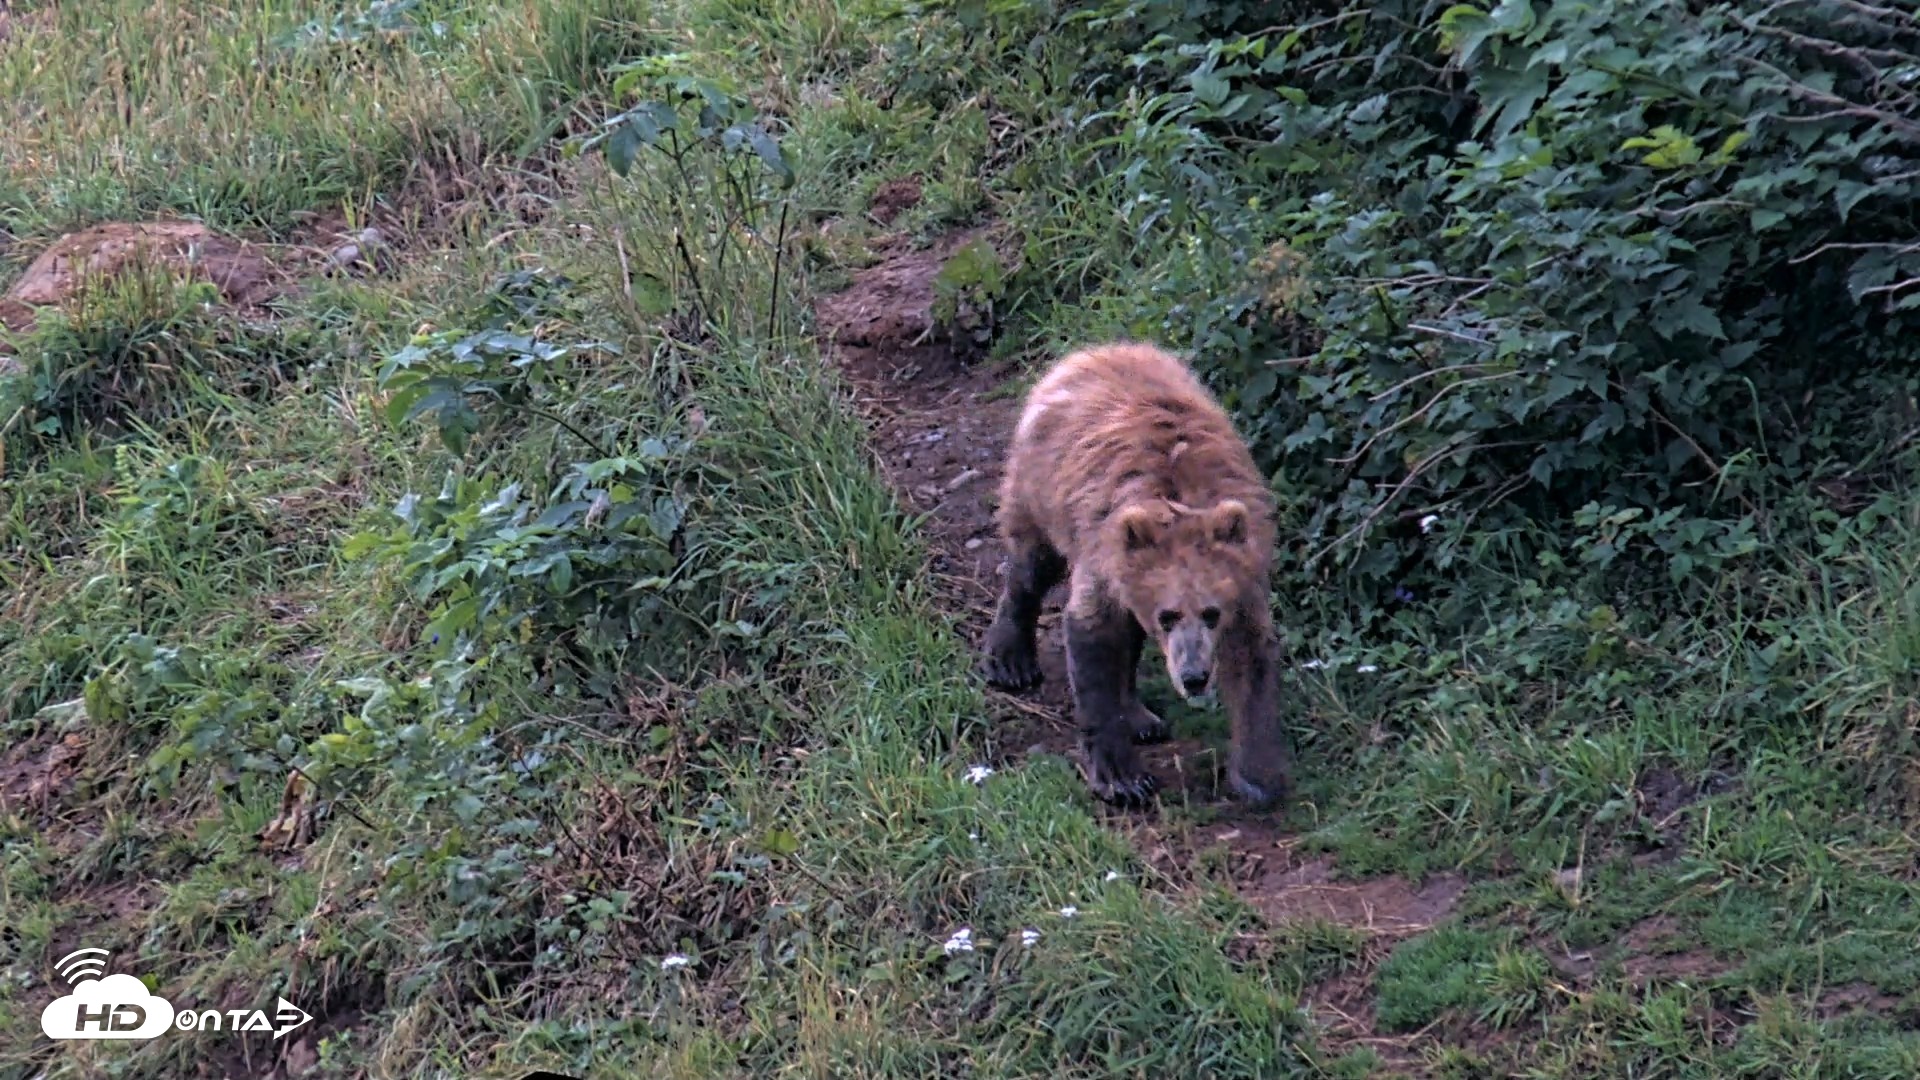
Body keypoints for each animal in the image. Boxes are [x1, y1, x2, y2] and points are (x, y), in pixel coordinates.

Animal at [979, 341, 1291, 809]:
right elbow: (1093, 638)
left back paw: (1142, 717)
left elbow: (1251, 657)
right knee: (1031, 563)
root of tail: (1095, 351)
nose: (1194, 677)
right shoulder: (1105, 554)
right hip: (1041, 486)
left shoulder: (1243, 571)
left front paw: (1258, 775)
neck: (1179, 499)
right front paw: (1122, 778)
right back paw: (1009, 658)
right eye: (1169, 615)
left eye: (1211, 613)